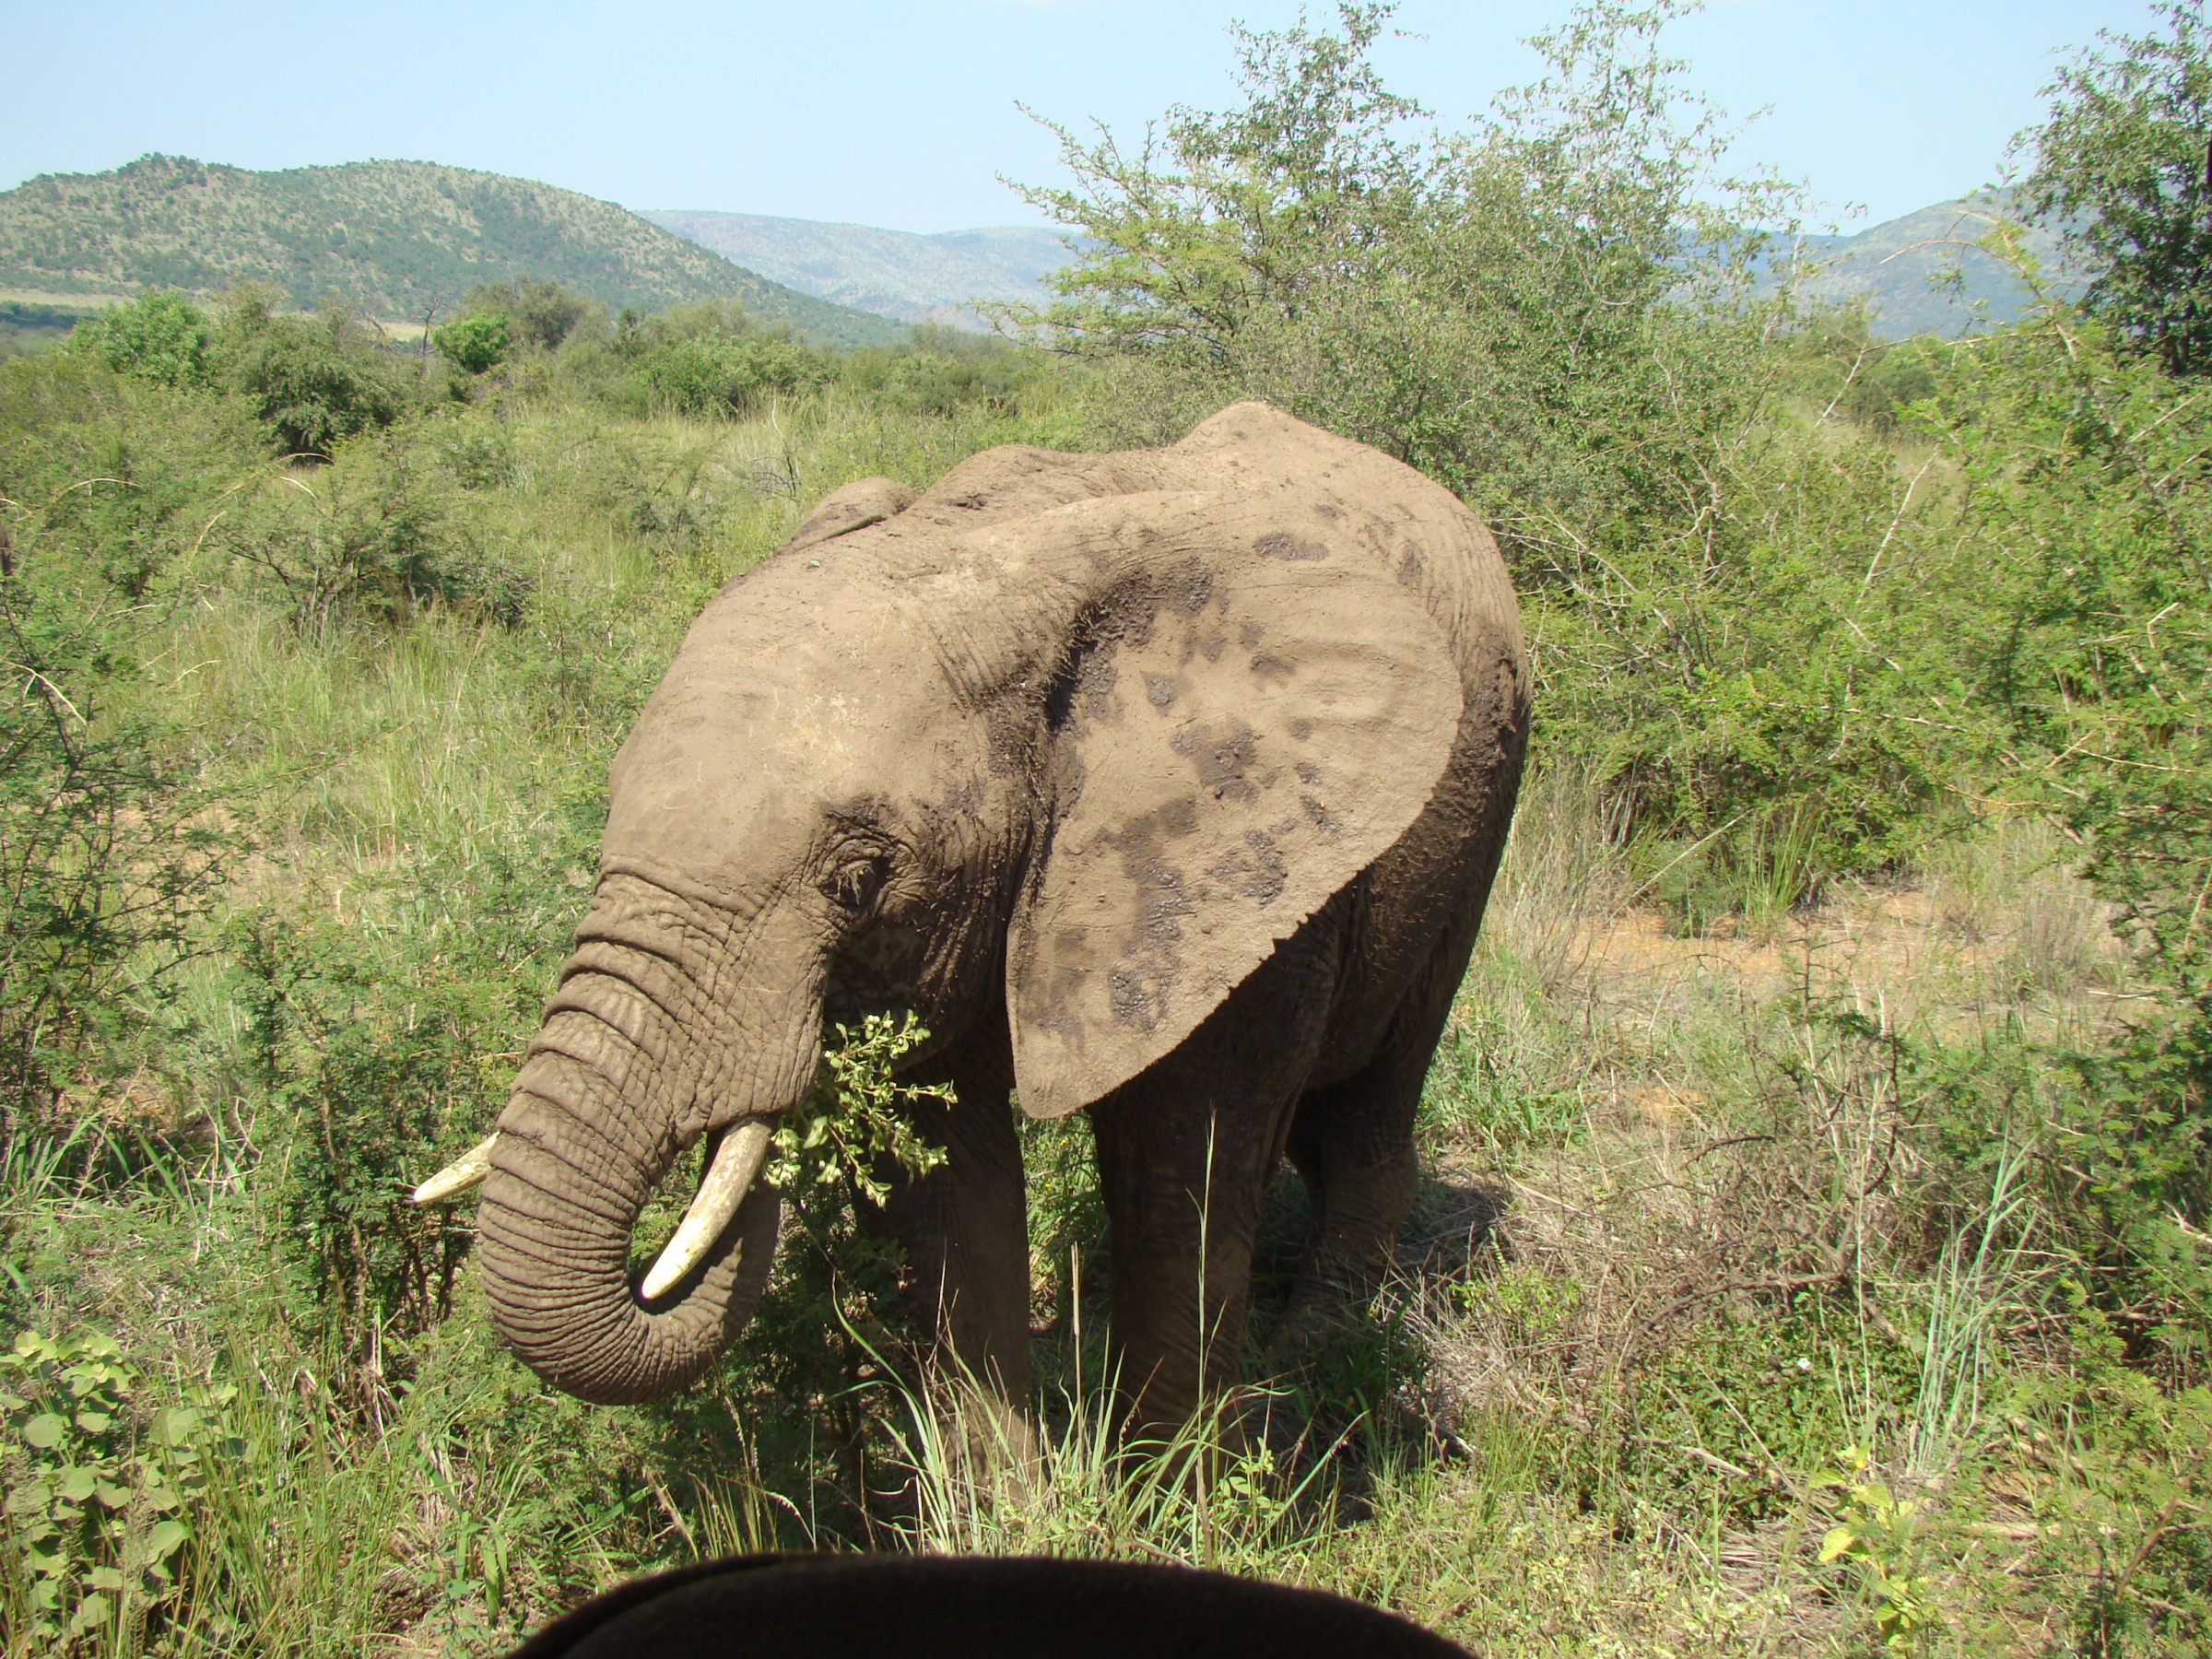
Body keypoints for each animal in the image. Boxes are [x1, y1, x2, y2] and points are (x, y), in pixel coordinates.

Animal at [411, 400, 1522, 1433]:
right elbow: (953, 1188)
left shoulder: (1241, 871)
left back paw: (1314, 1364)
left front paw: (1165, 1488)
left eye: (860, 877)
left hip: (1480, 813)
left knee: (1371, 1104)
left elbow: (1183, 1176)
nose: (744, 1170)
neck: (991, 564)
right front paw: (1005, 1499)